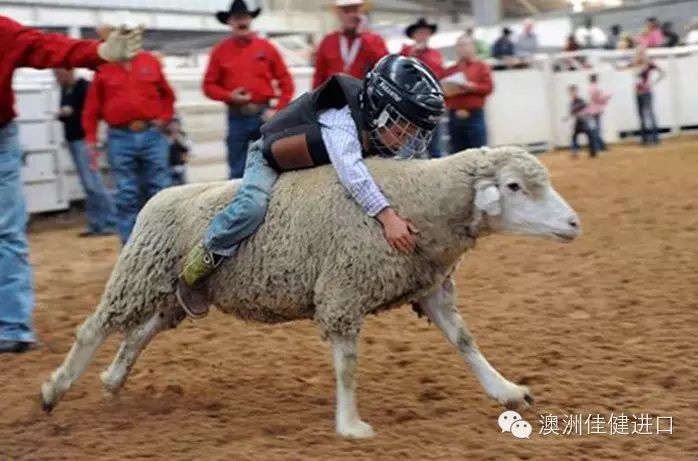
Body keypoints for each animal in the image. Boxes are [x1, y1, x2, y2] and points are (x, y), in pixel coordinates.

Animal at [40, 146, 580, 436]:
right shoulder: (343, 289)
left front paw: (506, 390)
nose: (575, 223)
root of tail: (157, 197)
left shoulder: (429, 288)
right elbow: (347, 365)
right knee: (94, 328)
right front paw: (350, 425)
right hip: (138, 273)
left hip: (176, 293)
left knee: (139, 333)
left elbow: (466, 342)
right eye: (514, 186)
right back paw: (54, 389)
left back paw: (112, 380)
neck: (415, 202)